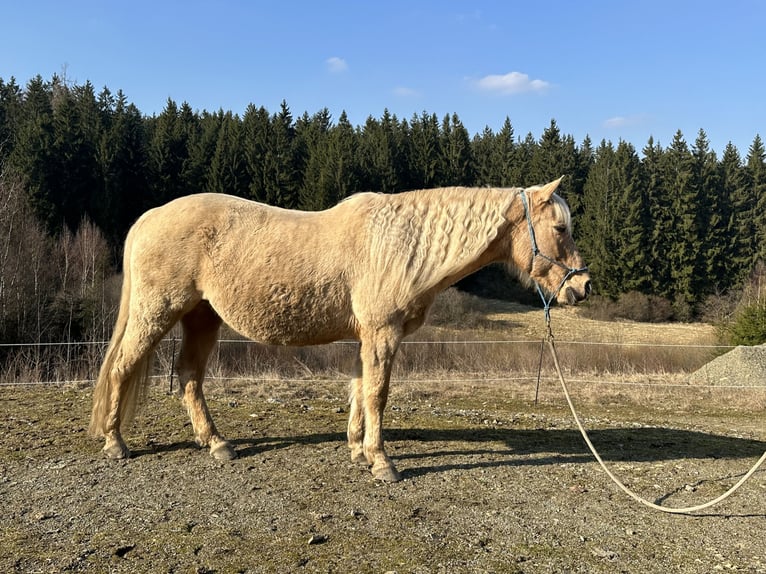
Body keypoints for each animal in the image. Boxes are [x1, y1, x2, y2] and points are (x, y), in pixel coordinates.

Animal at [89, 176, 591, 482]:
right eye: (560, 228)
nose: (582, 287)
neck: (401, 244)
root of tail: (151, 215)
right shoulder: (382, 333)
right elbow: (377, 394)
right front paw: (382, 462)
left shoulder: (366, 336)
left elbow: (359, 389)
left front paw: (357, 451)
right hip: (158, 312)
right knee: (123, 367)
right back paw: (116, 443)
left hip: (202, 317)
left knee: (189, 376)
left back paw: (217, 444)